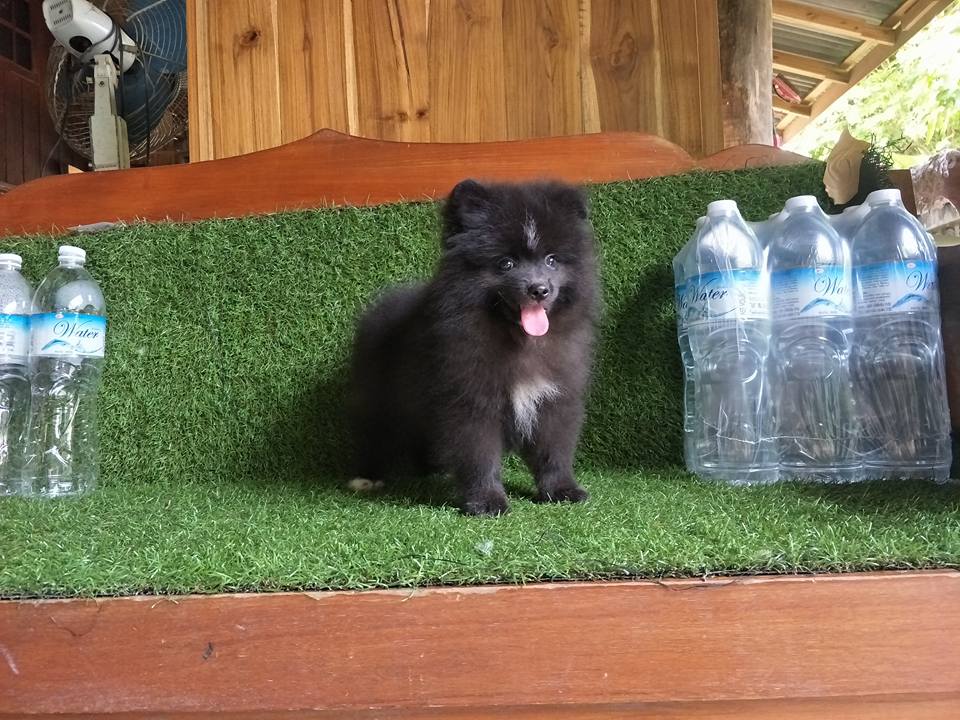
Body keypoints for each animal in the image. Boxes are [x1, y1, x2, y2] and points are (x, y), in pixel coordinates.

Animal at [348, 179, 599, 515]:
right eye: (506, 263)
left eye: (551, 260)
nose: (539, 289)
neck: (518, 341)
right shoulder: (471, 399)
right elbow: (479, 455)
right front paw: (486, 501)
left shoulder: (554, 396)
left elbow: (553, 449)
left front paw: (561, 489)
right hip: (380, 396)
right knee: (375, 433)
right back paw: (367, 476)